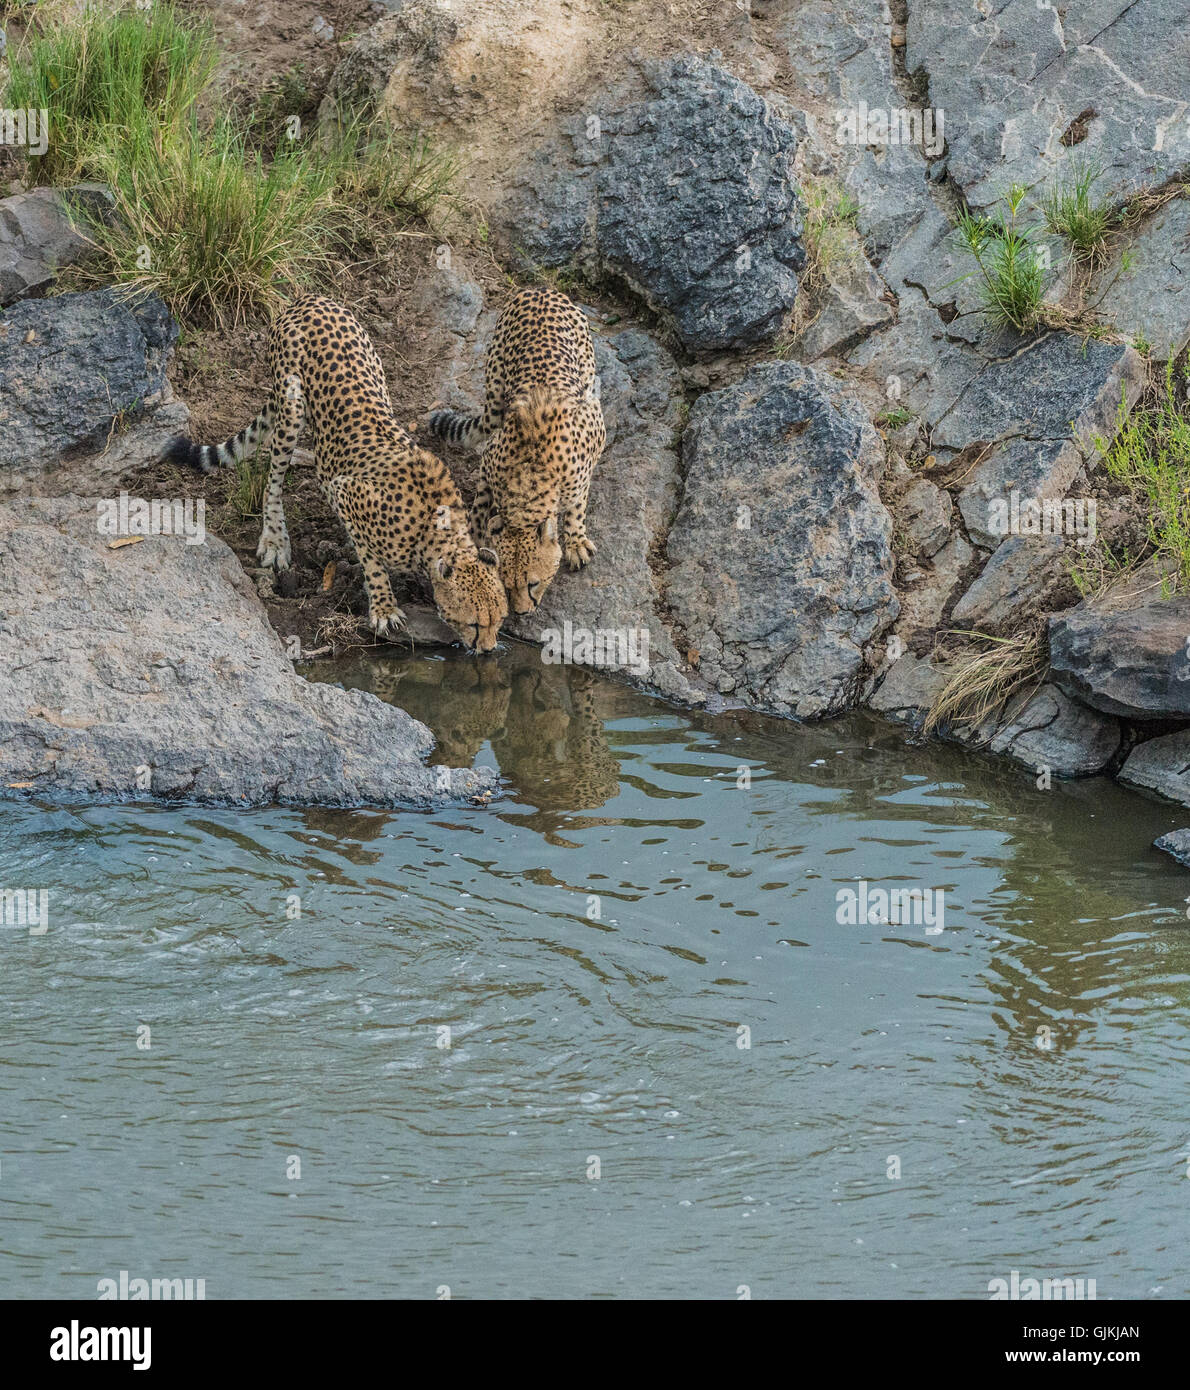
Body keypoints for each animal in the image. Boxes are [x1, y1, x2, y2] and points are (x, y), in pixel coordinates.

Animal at [164, 293, 506, 650]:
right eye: (474, 623)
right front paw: (383, 607)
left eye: (499, 620)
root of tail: (309, 298)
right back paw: (275, 539)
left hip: (376, 371)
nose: (488, 649)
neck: (435, 532)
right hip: (292, 402)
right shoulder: (348, 492)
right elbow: (371, 559)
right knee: (274, 477)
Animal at [428, 286, 603, 614]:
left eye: (534, 583)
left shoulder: (593, 434)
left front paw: (575, 541)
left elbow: (577, 504)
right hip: (496, 391)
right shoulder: (491, 458)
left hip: (586, 369)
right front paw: (478, 533)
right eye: (507, 586)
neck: (530, 478)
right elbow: (482, 498)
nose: (521, 612)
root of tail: (540, 288)